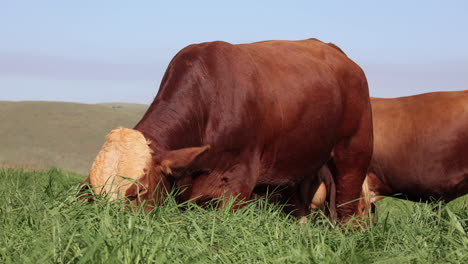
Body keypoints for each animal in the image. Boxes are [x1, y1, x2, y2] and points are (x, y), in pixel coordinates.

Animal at [81, 38, 372, 222]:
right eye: (95, 193)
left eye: (137, 193)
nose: (111, 227)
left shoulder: (238, 182)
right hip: (300, 163)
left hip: (353, 156)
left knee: (347, 210)